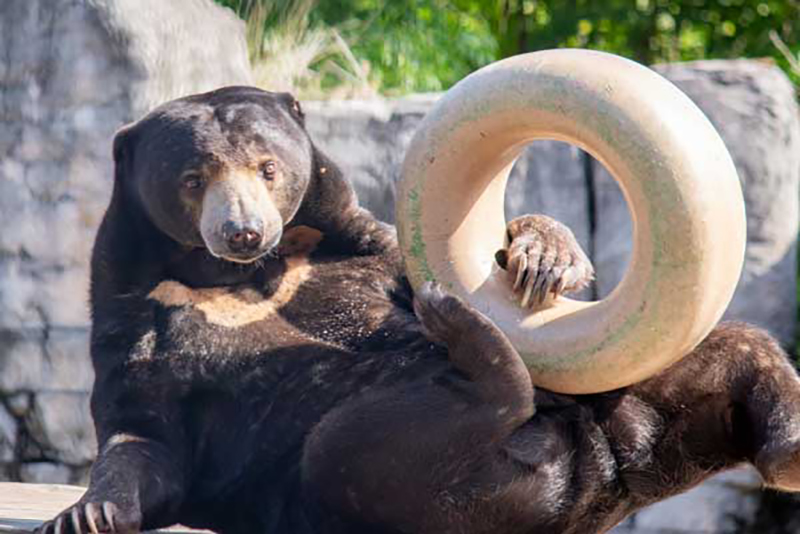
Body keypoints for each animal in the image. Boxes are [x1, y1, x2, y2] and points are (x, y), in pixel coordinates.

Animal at [37, 86, 800, 534]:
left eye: (266, 167)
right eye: (194, 178)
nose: (244, 231)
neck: (247, 276)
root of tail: (585, 480)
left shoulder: (368, 248)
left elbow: (435, 264)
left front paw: (543, 260)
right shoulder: (140, 319)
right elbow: (145, 435)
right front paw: (86, 513)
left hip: (628, 404)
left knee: (738, 348)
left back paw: (786, 447)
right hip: (347, 492)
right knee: (353, 447)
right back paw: (468, 338)